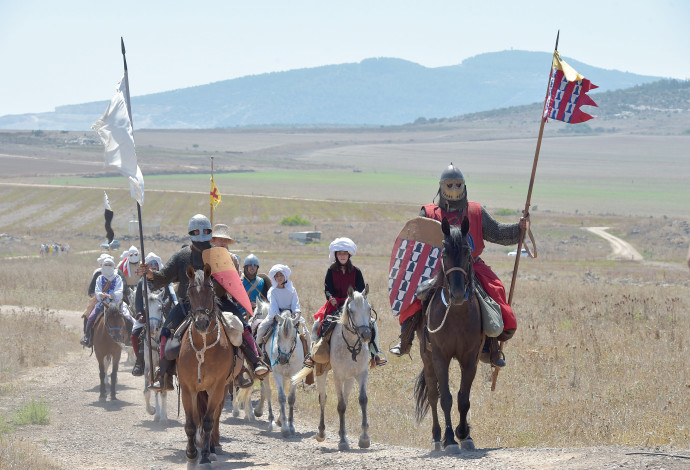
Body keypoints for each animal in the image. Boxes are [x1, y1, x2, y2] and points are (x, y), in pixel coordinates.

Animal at [176, 264, 243, 466]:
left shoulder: (217, 387)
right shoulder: (188, 388)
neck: (203, 348)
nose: (202, 323)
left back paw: (212, 447)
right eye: (190, 293)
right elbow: (191, 423)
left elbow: (208, 421)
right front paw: (191, 453)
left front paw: (205, 454)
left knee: (215, 416)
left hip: (222, 388)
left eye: (211, 290)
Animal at [292, 284, 374, 450]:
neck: (350, 345)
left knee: (346, 398)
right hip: (322, 373)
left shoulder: (362, 374)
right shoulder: (338, 376)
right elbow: (340, 405)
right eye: (351, 310)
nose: (366, 335)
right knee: (323, 398)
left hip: (349, 379)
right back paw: (321, 432)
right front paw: (342, 440)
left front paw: (364, 438)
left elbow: (362, 400)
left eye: (369, 308)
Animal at [412, 216, 482, 452]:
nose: (458, 294)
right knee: (434, 395)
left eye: (467, 252)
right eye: (444, 254)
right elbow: (445, 399)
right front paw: (450, 438)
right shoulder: (440, 357)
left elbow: (463, 399)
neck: (457, 314)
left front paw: (464, 434)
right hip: (427, 357)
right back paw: (436, 437)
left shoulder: (470, 358)